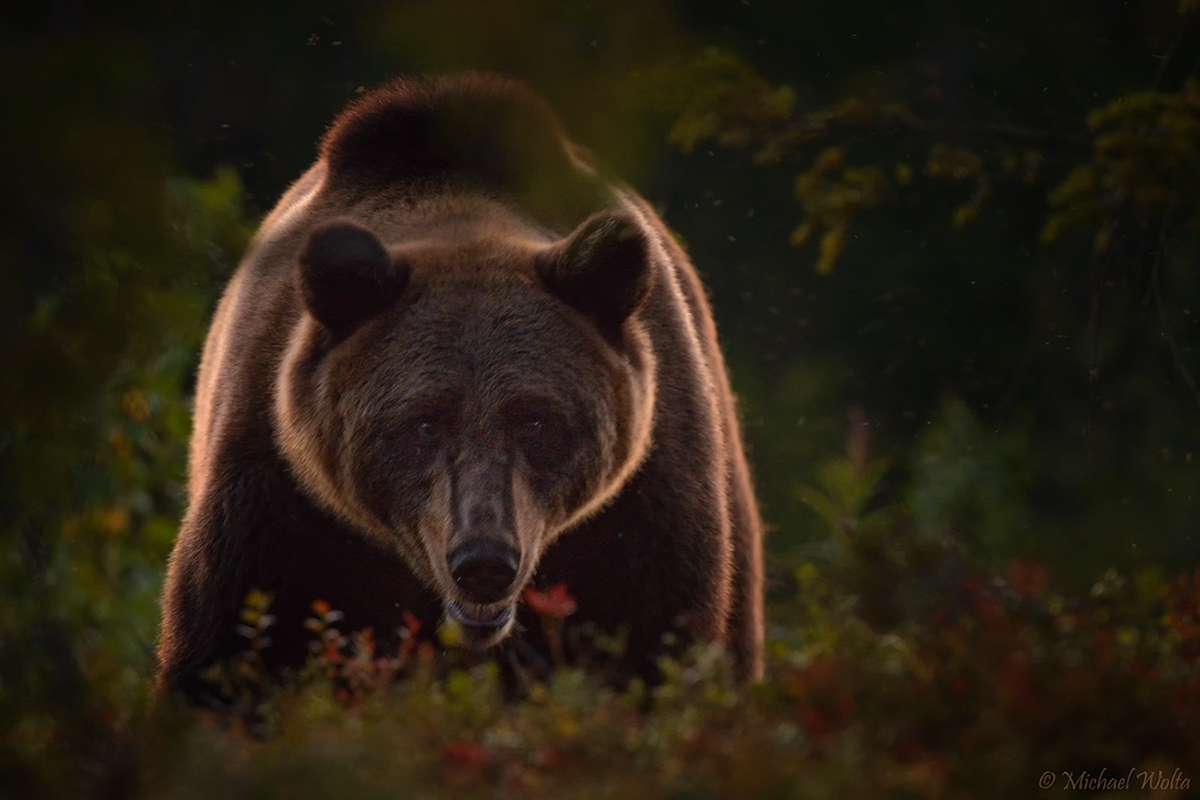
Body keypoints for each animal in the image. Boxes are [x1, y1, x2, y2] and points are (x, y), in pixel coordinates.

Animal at [157, 71, 758, 705]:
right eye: (423, 421)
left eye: (536, 419)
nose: (484, 561)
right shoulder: (278, 502)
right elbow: (231, 656)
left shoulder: (641, 514)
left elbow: (655, 647)